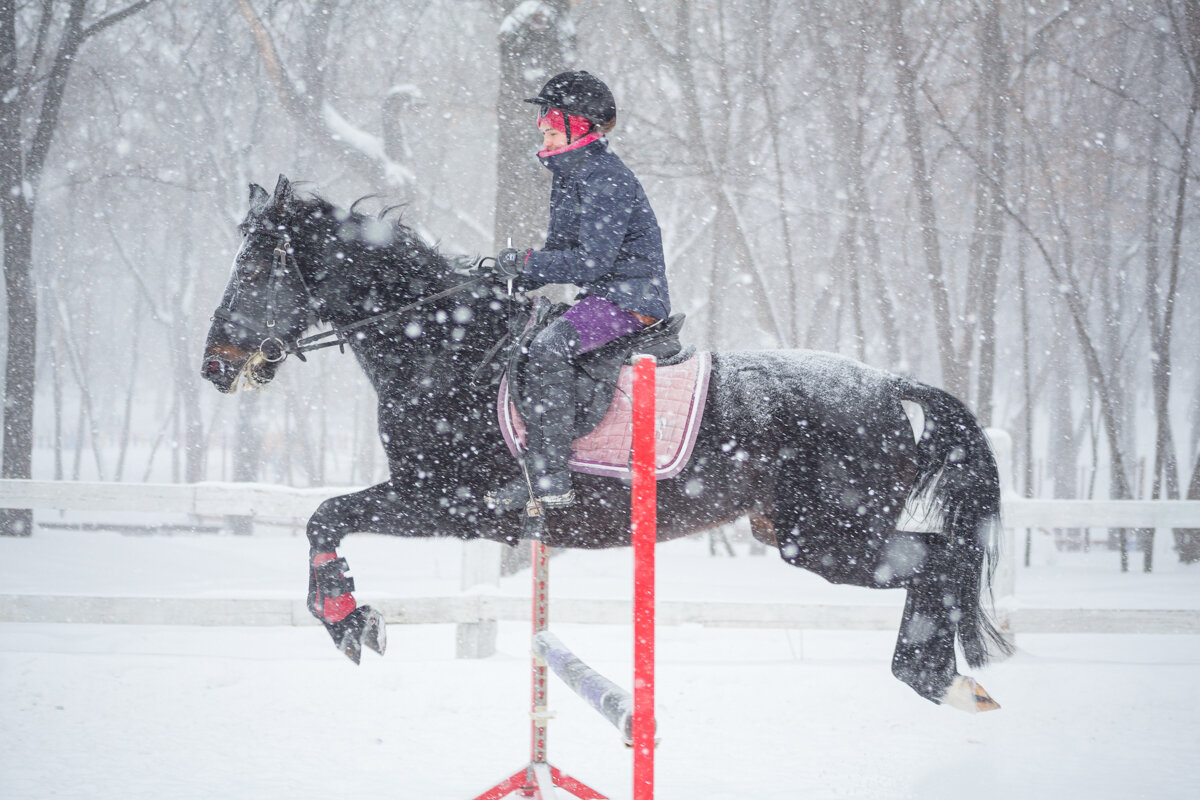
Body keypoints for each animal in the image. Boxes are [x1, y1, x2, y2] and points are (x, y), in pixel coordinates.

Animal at [204, 176, 1012, 714]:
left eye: (256, 266)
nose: (215, 365)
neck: (448, 349)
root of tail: (889, 384)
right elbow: (326, 519)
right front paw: (348, 617)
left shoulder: (448, 504)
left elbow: (325, 517)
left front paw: (348, 620)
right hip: (808, 535)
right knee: (941, 560)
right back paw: (945, 680)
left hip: (831, 537)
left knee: (940, 560)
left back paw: (937, 678)